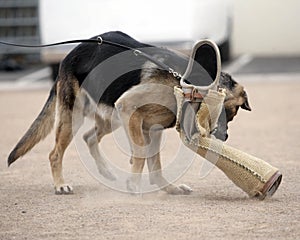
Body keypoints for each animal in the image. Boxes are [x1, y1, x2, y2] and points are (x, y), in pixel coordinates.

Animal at [7, 31, 251, 194]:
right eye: (231, 113)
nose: (225, 137)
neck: (186, 84)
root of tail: (67, 57)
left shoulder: (151, 128)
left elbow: (154, 164)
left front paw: (168, 188)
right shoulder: (129, 109)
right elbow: (142, 154)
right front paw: (134, 185)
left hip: (110, 116)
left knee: (89, 137)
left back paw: (105, 171)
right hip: (75, 117)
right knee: (55, 153)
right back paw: (60, 184)